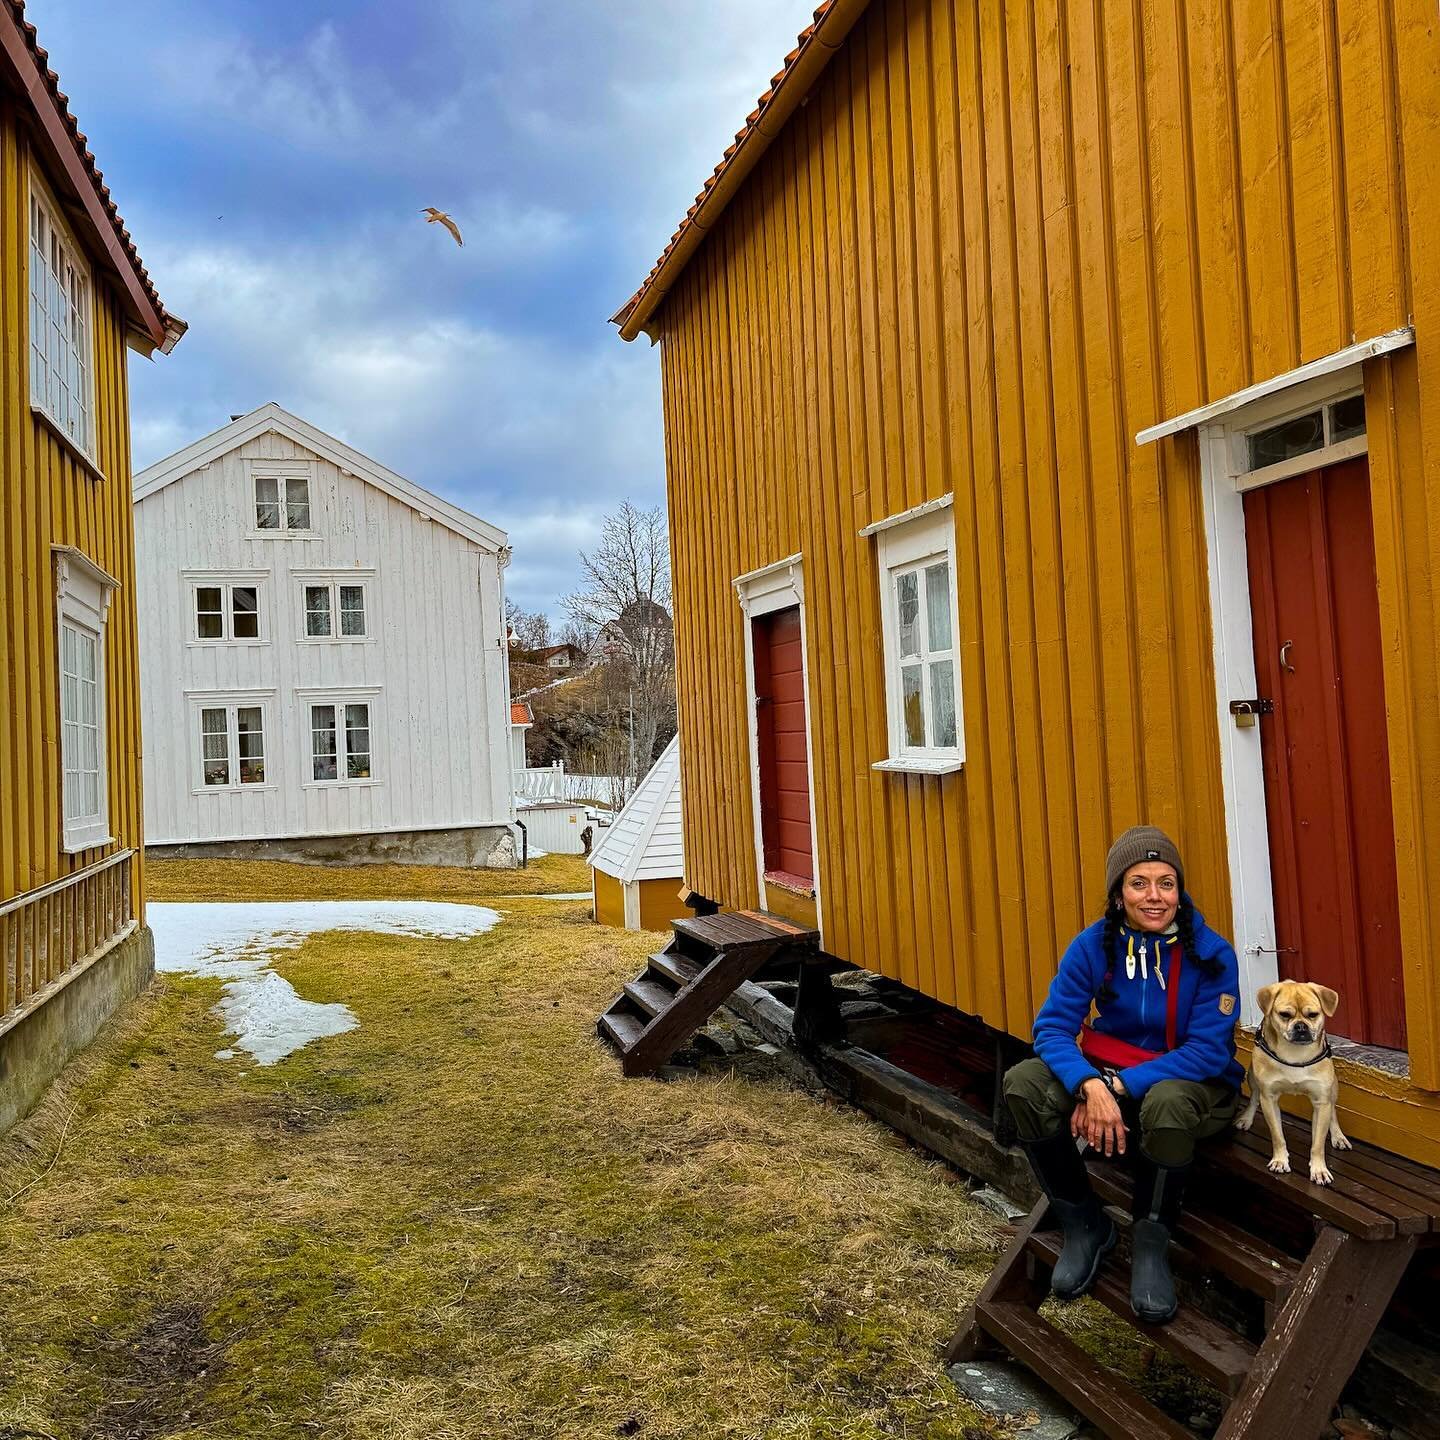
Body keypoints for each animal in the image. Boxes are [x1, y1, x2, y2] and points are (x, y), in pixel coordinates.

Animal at [1232, 979, 1342, 1192]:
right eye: (1284, 1015)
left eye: (1313, 1015)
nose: (1300, 1026)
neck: (1295, 1054)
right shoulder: (1269, 1099)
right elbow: (1277, 1135)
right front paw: (1280, 1161)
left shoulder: (1321, 1101)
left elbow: (1318, 1143)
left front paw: (1319, 1169)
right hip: (1252, 1076)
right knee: (1254, 1098)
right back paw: (1246, 1118)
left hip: (1333, 1087)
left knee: (1333, 1110)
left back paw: (1338, 1136)